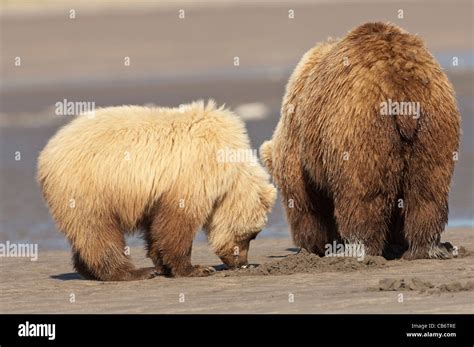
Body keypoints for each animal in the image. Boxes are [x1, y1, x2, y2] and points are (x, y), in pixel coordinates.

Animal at [39, 100, 276, 280]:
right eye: (251, 235)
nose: (243, 263)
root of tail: (45, 155)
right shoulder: (194, 172)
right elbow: (177, 223)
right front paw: (195, 268)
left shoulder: (159, 193)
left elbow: (156, 227)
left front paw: (163, 264)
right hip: (90, 187)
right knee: (98, 230)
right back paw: (132, 272)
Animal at [262, 21, 462, 260]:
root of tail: (401, 85)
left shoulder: (298, 142)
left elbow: (305, 203)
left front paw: (312, 245)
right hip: (435, 123)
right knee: (427, 189)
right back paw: (425, 248)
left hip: (358, 127)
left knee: (362, 194)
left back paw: (356, 249)